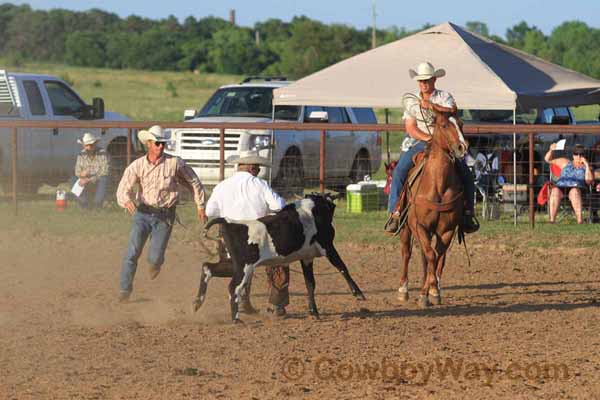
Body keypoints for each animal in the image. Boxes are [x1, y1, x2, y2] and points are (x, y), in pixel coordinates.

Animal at [192, 193, 366, 322]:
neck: (314, 211)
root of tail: (229, 222)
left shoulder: (307, 258)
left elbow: (310, 284)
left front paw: (314, 312)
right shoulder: (327, 247)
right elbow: (342, 267)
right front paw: (358, 293)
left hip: (232, 264)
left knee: (207, 268)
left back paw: (197, 302)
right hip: (244, 267)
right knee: (233, 287)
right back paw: (236, 319)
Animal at [398, 111, 468, 308]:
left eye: (461, 124)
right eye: (444, 125)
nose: (462, 147)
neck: (437, 183)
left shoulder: (447, 230)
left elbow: (436, 258)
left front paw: (433, 291)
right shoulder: (418, 226)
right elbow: (430, 255)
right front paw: (426, 293)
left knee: (432, 258)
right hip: (406, 228)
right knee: (406, 253)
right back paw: (403, 290)